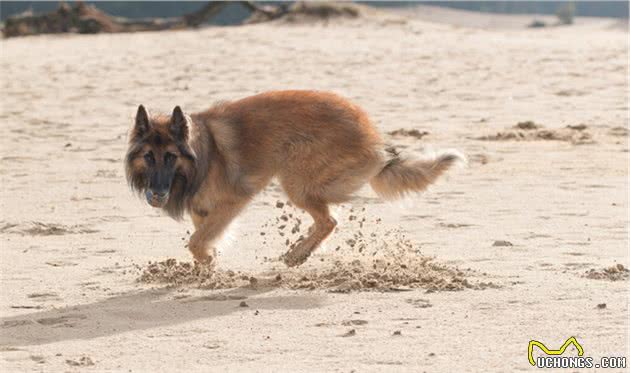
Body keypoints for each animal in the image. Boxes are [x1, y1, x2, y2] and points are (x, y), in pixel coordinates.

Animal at [127, 89, 464, 264]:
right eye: (149, 157)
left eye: (171, 157)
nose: (156, 195)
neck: (200, 156)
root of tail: (373, 137)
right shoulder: (202, 210)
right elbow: (201, 240)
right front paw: (206, 268)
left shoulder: (231, 203)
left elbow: (197, 242)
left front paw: (208, 262)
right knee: (327, 218)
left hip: (295, 177)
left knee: (329, 220)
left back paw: (298, 253)